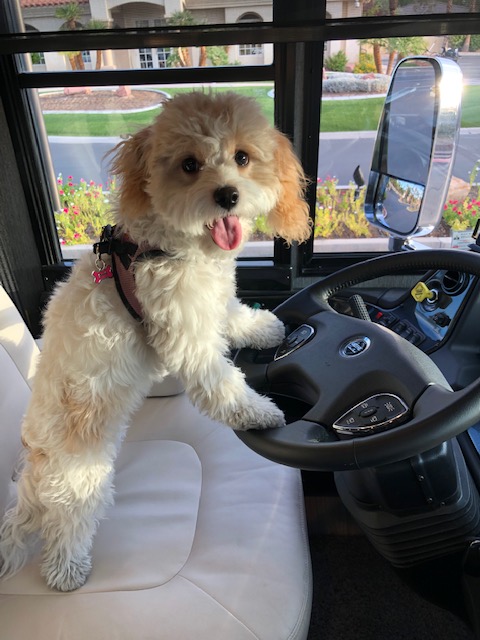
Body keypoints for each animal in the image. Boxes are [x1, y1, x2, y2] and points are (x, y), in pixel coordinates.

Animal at [0, 91, 311, 592]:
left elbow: (231, 313)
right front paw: (259, 412)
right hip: (78, 473)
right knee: (66, 524)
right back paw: (66, 571)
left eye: (243, 157)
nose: (228, 195)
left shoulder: (211, 302)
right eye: (189, 164)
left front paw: (265, 328)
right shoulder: (186, 336)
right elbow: (223, 386)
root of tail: (30, 464)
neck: (165, 246)